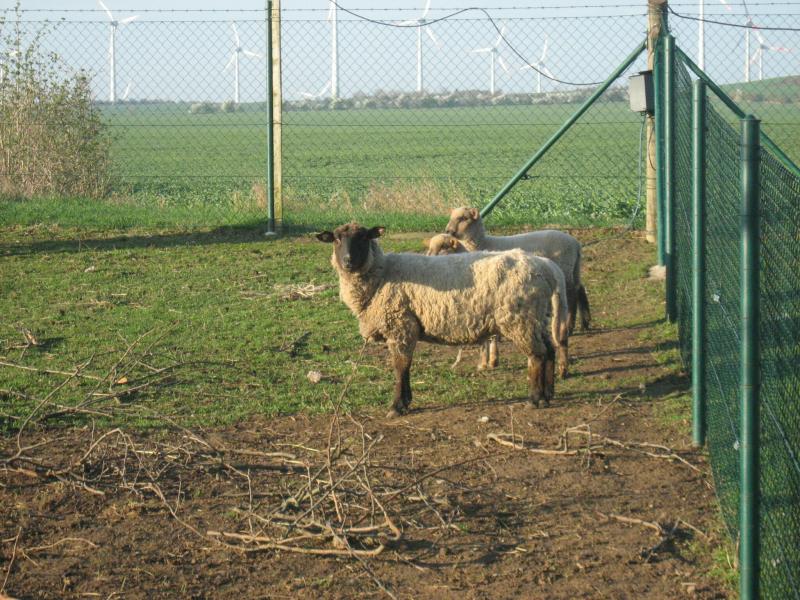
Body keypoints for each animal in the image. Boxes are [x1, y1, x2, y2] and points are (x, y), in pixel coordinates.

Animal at [425, 235, 570, 377]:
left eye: (443, 248)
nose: (428, 258)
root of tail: (550, 266)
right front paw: (489, 361)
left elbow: (487, 340)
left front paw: (486, 362)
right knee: (560, 336)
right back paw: (562, 369)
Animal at [445, 207, 591, 335]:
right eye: (451, 217)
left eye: (463, 218)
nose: (447, 231)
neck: (483, 243)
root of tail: (575, 243)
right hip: (573, 268)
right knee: (579, 289)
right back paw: (585, 323)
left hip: (565, 267)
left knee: (572, 295)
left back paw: (570, 327)